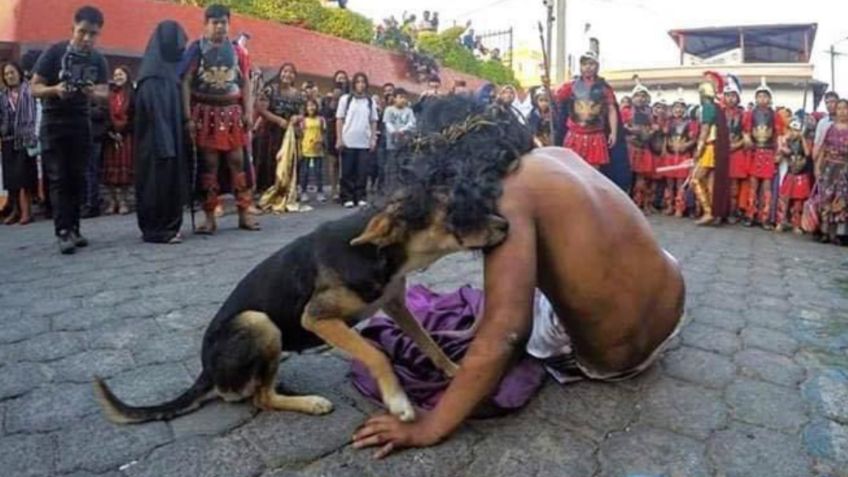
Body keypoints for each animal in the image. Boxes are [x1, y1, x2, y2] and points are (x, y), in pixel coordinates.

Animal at [96, 193, 506, 424]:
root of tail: (206, 372)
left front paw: (455, 370)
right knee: (258, 398)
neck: (377, 252)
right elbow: (375, 355)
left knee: (257, 388)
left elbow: (428, 342)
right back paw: (309, 403)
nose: (507, 224)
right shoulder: (317, 317)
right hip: (259, 322)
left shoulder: (393, 302)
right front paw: (398, 402)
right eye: (456, 215)